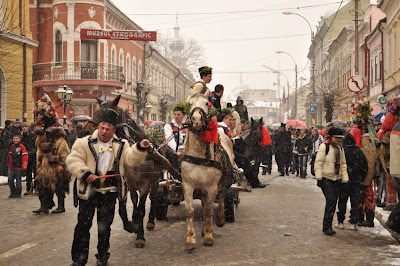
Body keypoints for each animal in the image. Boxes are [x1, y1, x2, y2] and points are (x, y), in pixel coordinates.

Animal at [182, 93, 234, 249]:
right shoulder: (188, 185)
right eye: (189, 103)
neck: (199, 156)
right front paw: (190, 239)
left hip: (222, 183)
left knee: (222, 197)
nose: (197, 120)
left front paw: (209, 236)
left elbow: (209, 210)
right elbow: (190, 211)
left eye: (206, 103)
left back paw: (220, 219)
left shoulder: (211, 187)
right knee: (205, 203)